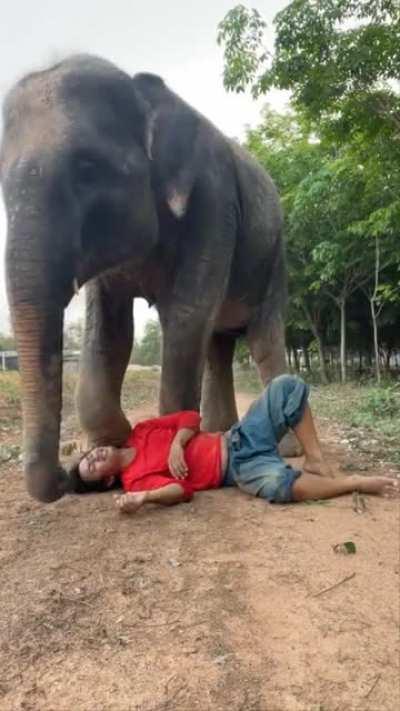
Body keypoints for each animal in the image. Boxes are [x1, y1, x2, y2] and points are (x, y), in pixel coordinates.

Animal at [0, 54, 291, 504]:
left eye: (87, 169)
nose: (70, 472)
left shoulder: (213, 202)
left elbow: (186, 316)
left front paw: (162, 443)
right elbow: (111, 332)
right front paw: (113, 438)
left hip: (274, 256)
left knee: (262, 339)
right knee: (218, 345)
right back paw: (220, 430)